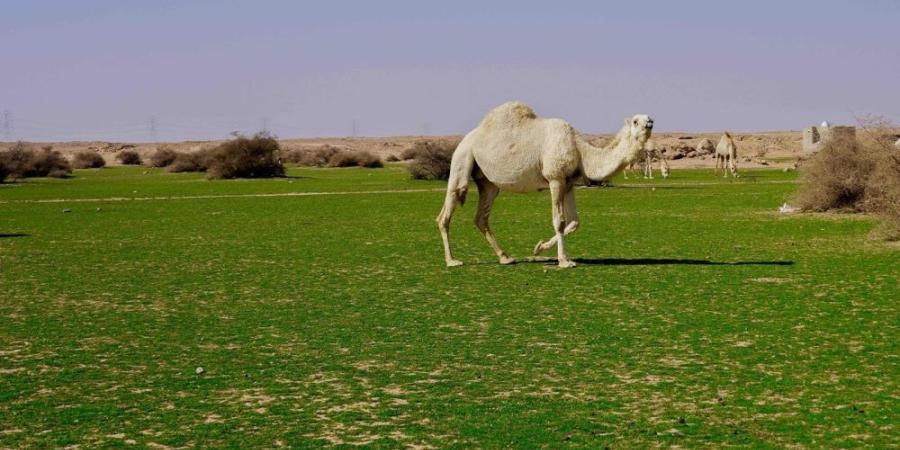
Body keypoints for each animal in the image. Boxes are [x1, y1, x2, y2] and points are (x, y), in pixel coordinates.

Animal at [438, 102, 652, 268]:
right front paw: (564, 261)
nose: (650, 122)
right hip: (462, 156)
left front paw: (539, 248)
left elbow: (574, 222)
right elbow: (560, 221)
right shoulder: (555, 178)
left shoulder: (569, 183)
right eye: (635, 121)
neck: (580, 151)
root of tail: (468, 137)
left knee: (481, 216)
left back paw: (505, 257)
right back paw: (452, 261)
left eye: (648, 117)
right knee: (449, 206)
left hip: (488, 182)